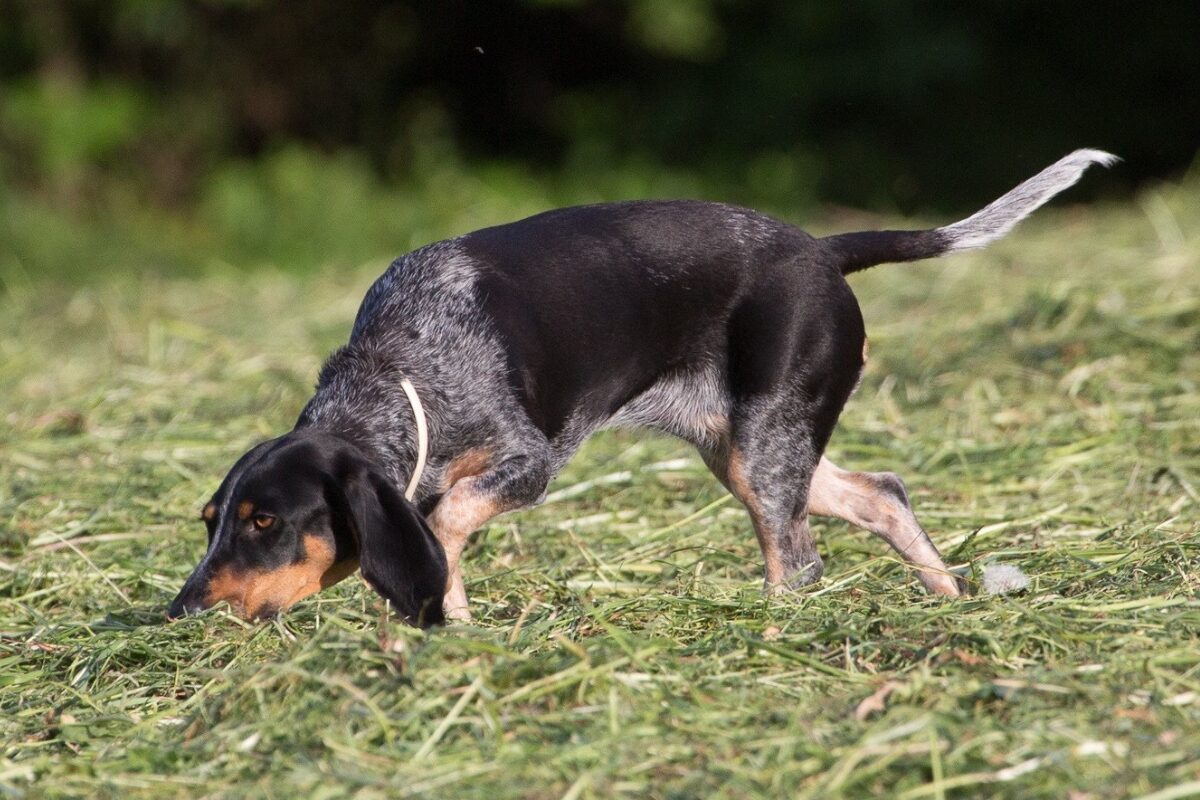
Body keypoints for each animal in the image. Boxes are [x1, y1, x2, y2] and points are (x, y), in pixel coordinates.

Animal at [166, 148, 1113, 623]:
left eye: (265, 523)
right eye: (213, 522)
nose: (180, 613)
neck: (400, 375)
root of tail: (823, 247)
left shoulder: (528, 461)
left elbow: (446, 519)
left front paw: (452, 607)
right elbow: (439, 528)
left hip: (767, 447)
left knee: (798, 558)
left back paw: (776, 632)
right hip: (746, 448)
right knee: (883, 492)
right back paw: (947, 601)